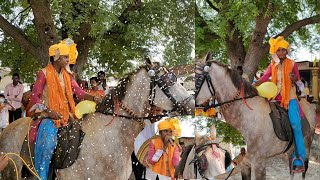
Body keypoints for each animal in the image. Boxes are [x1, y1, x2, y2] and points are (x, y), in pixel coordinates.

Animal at [194, 51, 316, 179]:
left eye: (196, 77)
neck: (245, 116)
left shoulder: (259, 163)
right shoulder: (244, 164)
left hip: (306, 146)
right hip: (290, 150)